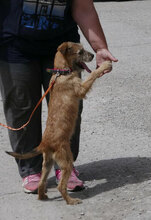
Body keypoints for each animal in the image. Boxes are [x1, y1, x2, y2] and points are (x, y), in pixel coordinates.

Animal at [6, 41, 112, 205]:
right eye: (80, 52)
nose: (93, 55)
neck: (62, 73)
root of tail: (44, 144)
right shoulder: (81, 88)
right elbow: (93, 75)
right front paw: (104, 66)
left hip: (47, 163)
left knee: (42, 182)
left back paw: (42, 197)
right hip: (66, 161)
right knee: (61, 186)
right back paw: (71, 201)